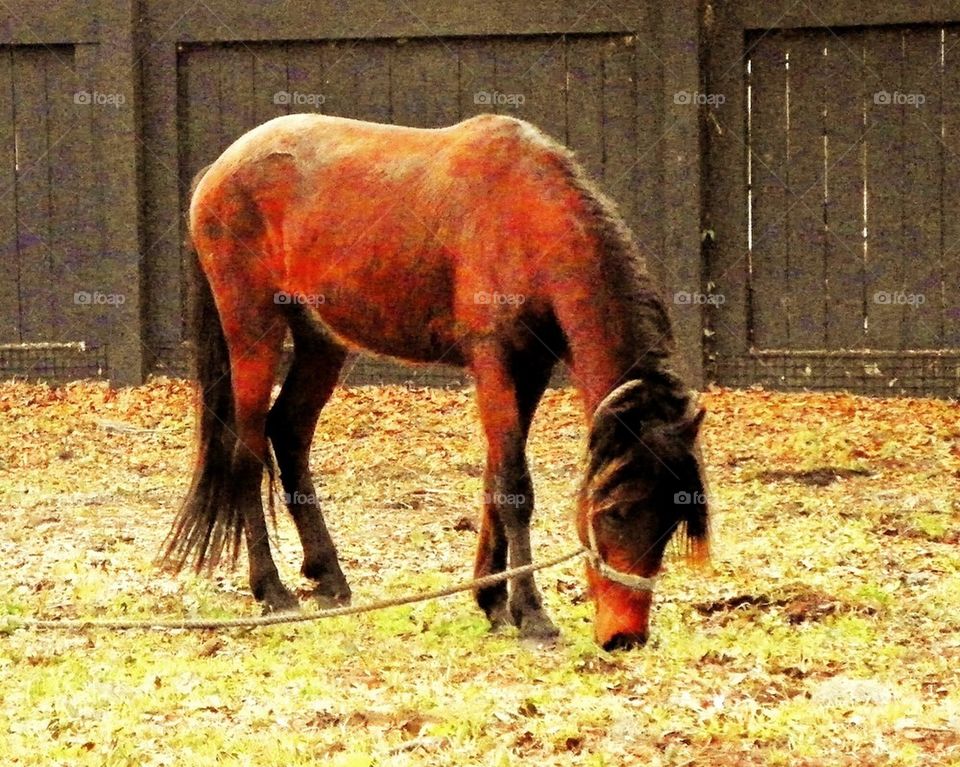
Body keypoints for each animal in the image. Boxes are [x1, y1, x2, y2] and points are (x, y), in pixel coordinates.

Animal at [163, 113, 709, 650]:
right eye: (615, 511)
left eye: (672, 520)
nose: (625, 637)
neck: (528, 214)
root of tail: (220, 168)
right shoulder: (493, 359)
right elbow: (515, 485)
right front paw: (532, 616)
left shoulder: (530, 368)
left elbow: (494, 477)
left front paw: (493, 600)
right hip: (253, 329)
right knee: (247, 450)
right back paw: (271, 591)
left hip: (321, 340)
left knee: (289, 434)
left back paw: (330, 579)